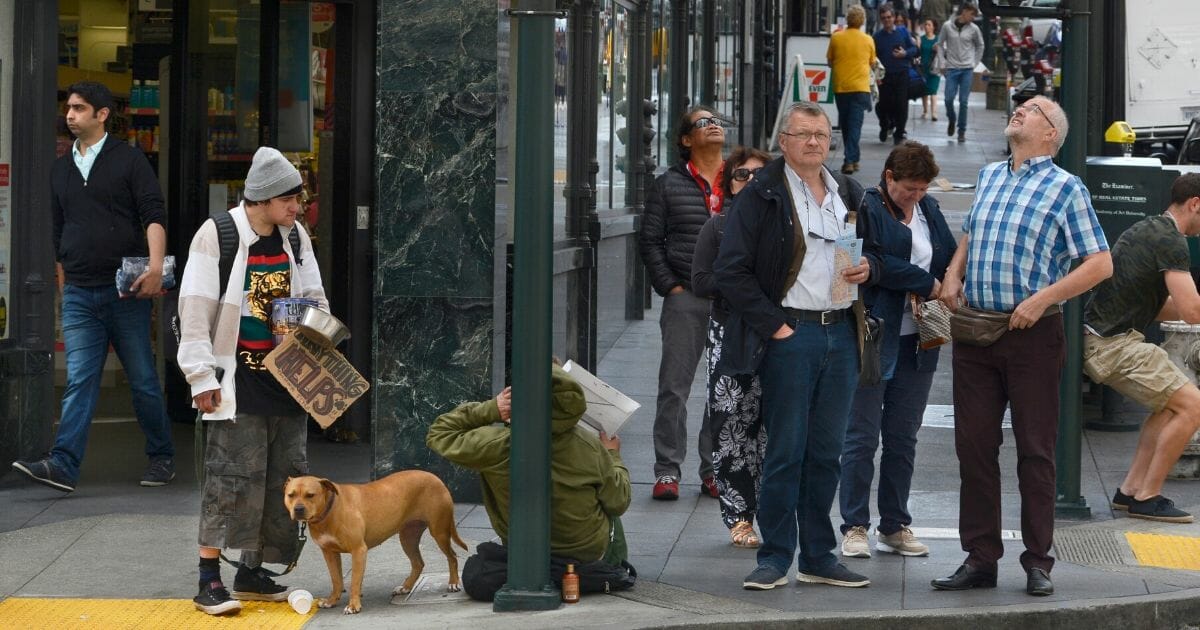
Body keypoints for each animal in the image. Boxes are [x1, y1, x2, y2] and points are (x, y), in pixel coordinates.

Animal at [283, 468, 465, 612]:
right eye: (290, 495)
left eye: (310, 495)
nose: (298, 509)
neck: (329, 511)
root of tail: (435, 477)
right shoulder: (329, 552)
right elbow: (336, 579)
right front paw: (331, 600)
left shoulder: (358, 550)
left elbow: (354, 581)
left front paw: (353, 605)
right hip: (408, 537)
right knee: (418, 563)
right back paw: (406, 587)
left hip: (439, 532)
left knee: (452, 556)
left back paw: (453, 583)